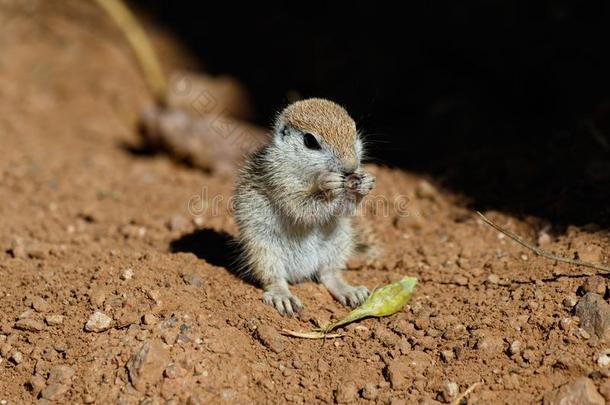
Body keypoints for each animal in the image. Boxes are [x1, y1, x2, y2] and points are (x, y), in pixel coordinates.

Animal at [234, 98, 372, 316]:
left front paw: (365, 183)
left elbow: (345, 210)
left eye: (354, 130)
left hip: (338, 243)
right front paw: (329, 185)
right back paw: (283, 296)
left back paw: (349, 291)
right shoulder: (278, 178)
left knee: (328, 274)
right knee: (274, 279)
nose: (351, 167)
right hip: (263, 250)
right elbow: (301, 207)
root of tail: (301, 272)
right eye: (310, 141)